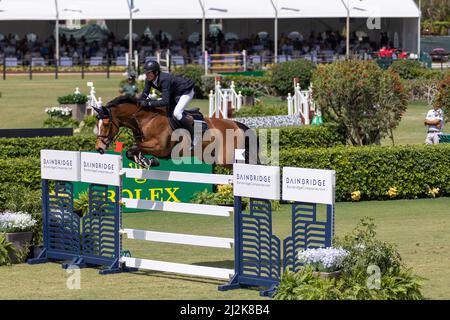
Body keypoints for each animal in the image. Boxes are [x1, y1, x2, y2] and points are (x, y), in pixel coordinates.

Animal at [93, 95, 258, 168]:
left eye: (106, 124)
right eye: (97, 124)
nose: (99, 148)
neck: (147, 119)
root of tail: (236, 124)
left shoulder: (160, 148)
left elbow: (135, 148)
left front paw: (148, 161)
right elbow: (132, 150)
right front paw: (145, 161)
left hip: (227, 159)